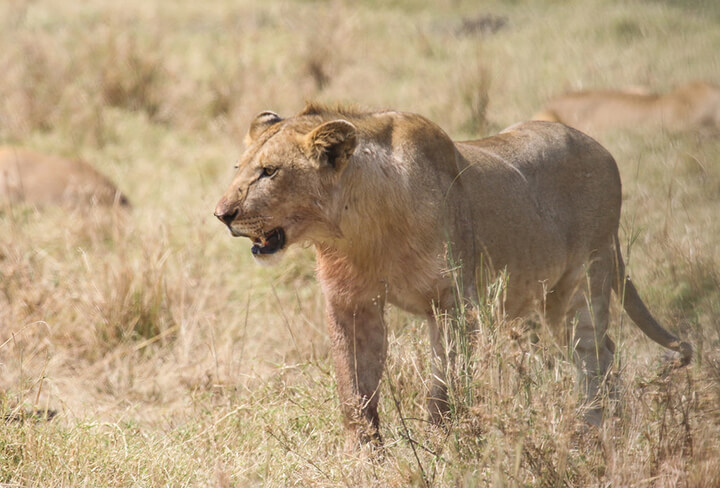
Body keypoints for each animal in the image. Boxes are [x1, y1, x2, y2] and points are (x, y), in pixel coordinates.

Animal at [212, 105, 692, 448]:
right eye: (239, 169)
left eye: (269, 172)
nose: (222, 215)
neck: (361, 230)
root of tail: (600, 148)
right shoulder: (350, 303)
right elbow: (354, 389)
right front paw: (364, 457)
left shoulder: (455, 303)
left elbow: (443, 388)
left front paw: (443, 447)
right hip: (553, 298)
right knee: (605, 350)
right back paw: (609, 428)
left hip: (586, 279)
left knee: (593, 354)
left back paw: (591, 432)